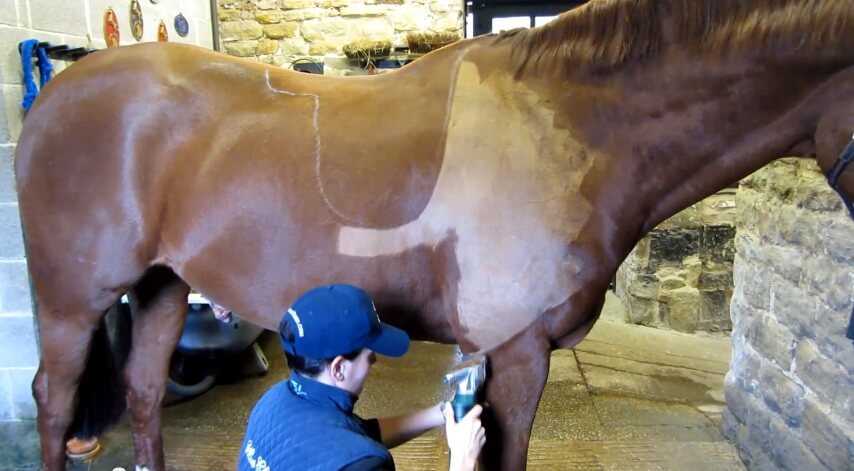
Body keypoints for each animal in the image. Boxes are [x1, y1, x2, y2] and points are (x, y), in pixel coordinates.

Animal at [14, 0, 854, 469]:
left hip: (161, 285)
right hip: (73, 300)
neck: (570, 125)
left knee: (144, 393)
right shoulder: (515, 356)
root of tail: (54, 95)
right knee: (54, 401)